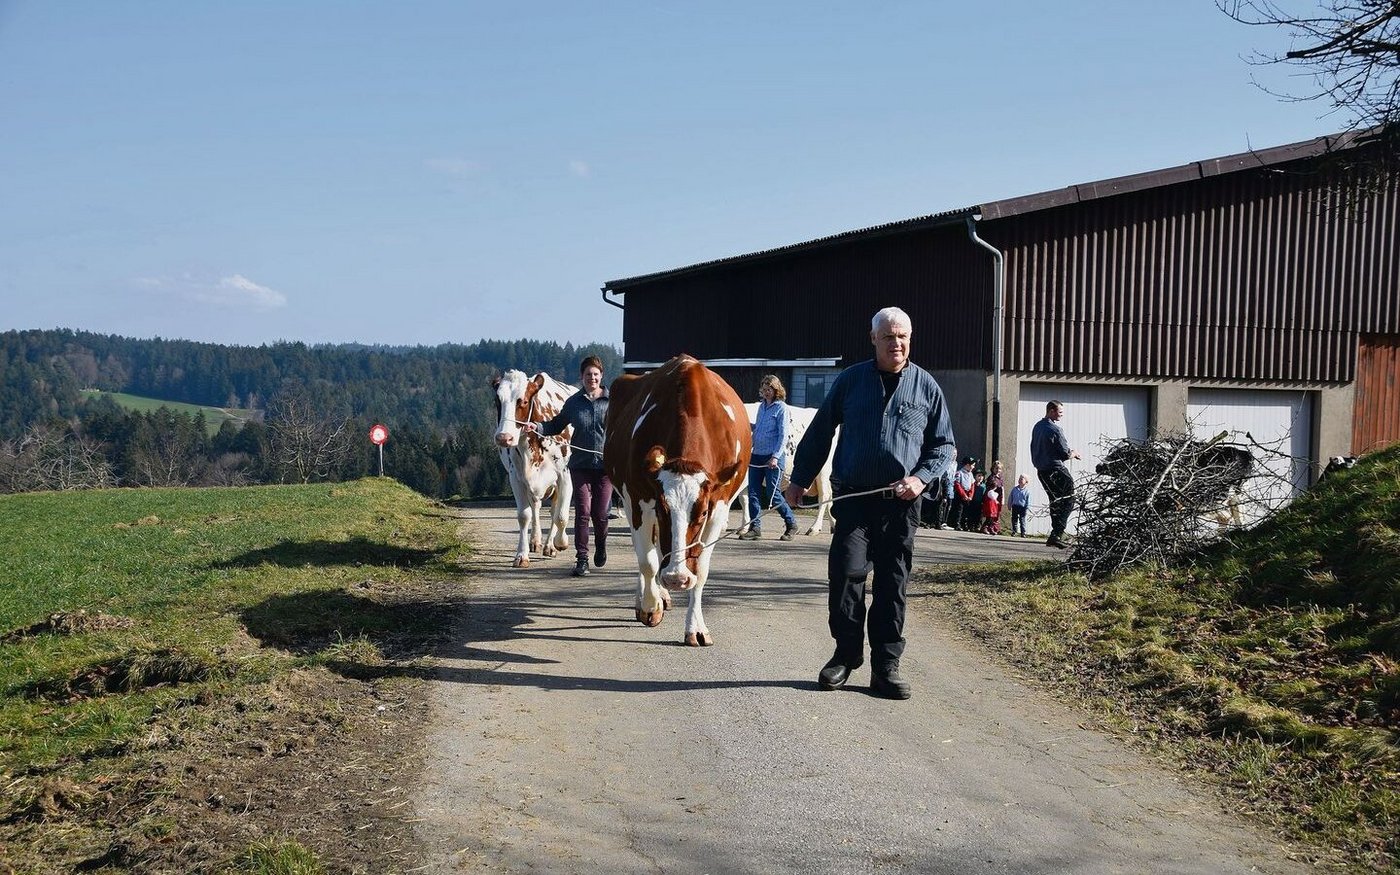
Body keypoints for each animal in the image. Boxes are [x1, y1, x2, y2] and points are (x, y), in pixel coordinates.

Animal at [492, 370, 576, 568]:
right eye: (497, 401)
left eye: (522, 401)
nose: (504, 438)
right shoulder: (516, 477)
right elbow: (524, 515)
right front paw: (521, 555)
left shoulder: (565, 474)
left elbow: (561, 515)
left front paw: (560, 542)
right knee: (536, 507)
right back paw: (536, 541)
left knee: (553, 511)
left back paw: (549, 545)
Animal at [604, 355, 751, 646]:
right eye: (663, 509)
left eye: (702, 513)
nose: (676, 578)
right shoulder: (639, 500)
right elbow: (647, 562)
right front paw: (650, 607)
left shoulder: (719, 506)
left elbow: (701, 569)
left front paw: (696, 627)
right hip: (627, 500)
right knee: (647, 553)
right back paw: (649, 596)